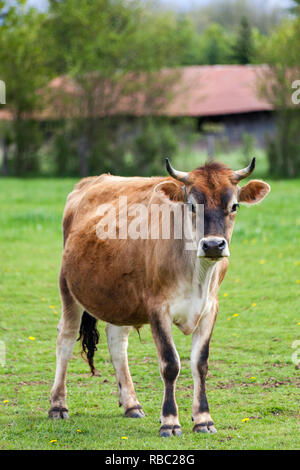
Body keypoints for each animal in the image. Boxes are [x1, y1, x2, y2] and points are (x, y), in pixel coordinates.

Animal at [48, 159, 270, 436]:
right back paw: (58, 405)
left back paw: (131, 404)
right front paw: (170, 421)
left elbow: (200, 363)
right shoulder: (157, 309)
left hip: (118, 297)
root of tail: (91, 182)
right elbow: (170, 363)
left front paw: (204, 419)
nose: (213, 245)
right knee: (65, 339)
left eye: (234, 206)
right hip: (68, 288)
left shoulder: (210, 308)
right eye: (192, 205)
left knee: (117, 342)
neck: (196, 274)